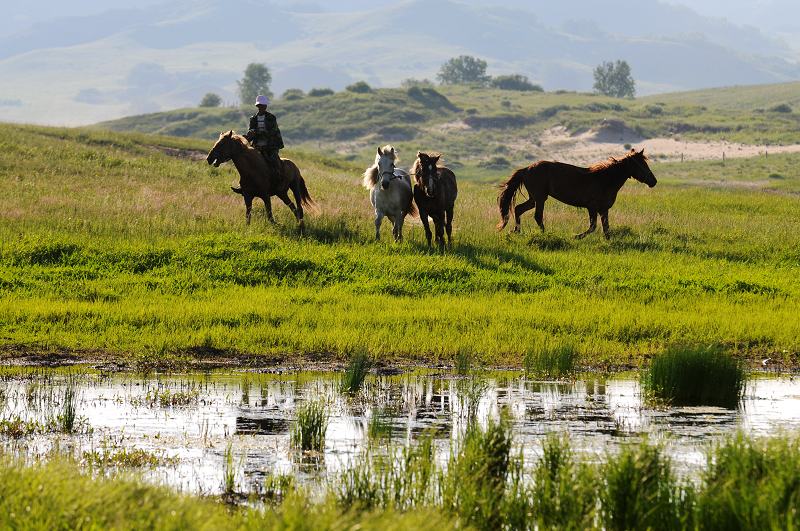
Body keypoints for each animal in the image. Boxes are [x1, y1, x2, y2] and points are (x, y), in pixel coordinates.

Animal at [500, 150, 656, 241]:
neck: (604, 179)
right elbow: (593, 227)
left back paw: (515, 231)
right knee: (537, 216)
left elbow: (606, 228)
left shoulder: (603, 209)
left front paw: (608, 242)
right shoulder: (592, 207)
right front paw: (576, 237)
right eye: (642, 164)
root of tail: (526, 169)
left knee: (519, 209)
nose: (653, 181)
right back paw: (545, 235)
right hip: (540, 199)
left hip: (534, 199)